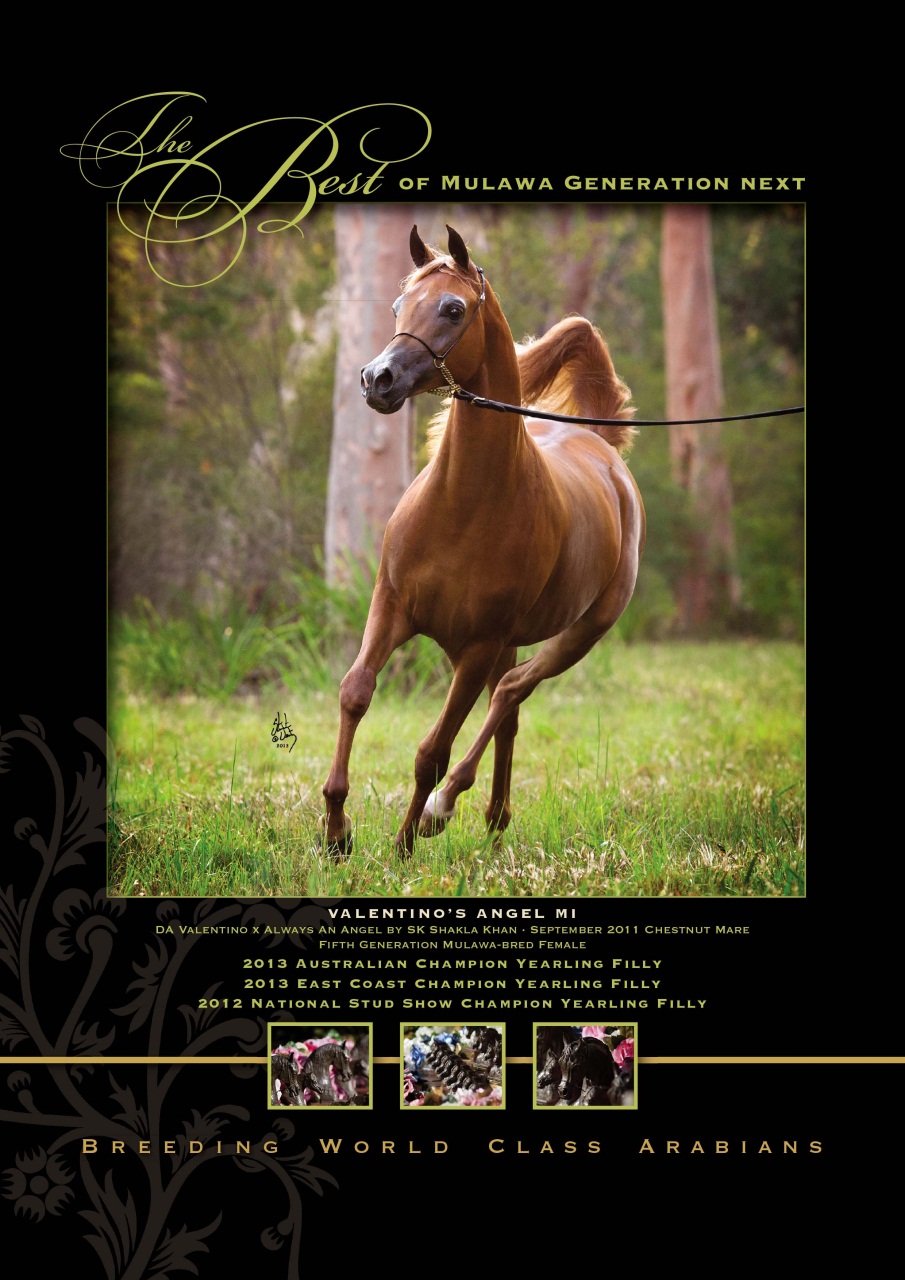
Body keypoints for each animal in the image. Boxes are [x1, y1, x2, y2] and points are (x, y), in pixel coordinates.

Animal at [321, 225, 645, 854]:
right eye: (398, 305)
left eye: (453, 308)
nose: (376, 379)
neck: (461, 509)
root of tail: (600, 444)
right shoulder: (391, 608)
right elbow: (355, 692)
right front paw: (336, 828)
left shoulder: (477, 646)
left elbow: (432, 751)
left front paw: (405, 842)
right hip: (496, 645)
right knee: (510, 710)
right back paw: (494, 823)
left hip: (576, 633)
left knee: (512, 693)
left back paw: (447, 807)